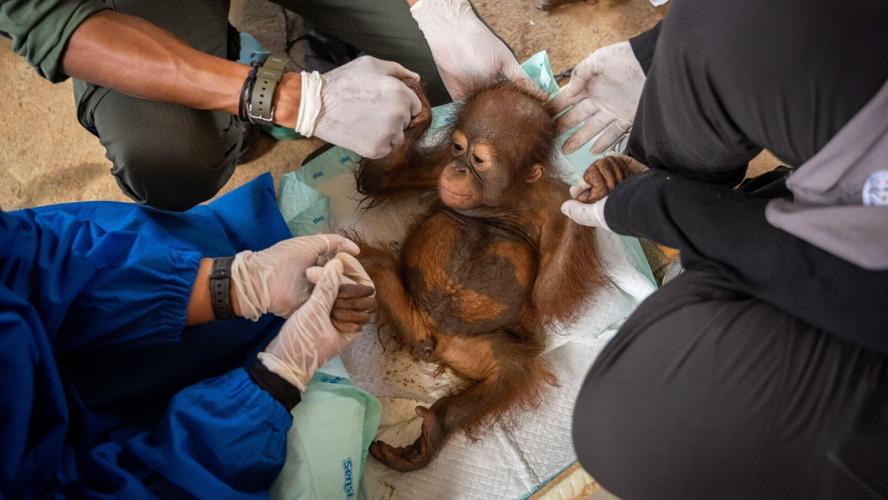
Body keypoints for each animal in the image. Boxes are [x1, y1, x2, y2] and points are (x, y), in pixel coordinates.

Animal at [353, 81, 631, 472]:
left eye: (479, 159)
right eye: (458, 148)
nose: (458, 169)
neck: (506, 197)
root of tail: (429, 337)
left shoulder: (553, 202)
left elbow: (545, 294)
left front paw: (596, 191)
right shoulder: (438, 166)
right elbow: (384, 180)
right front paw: (419, 113)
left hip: (467, 346)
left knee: (509, 367)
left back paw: (434, 430)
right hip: (412, 315)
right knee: (368, 263)